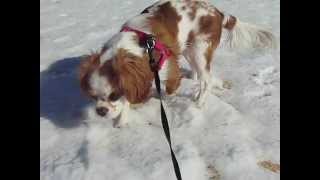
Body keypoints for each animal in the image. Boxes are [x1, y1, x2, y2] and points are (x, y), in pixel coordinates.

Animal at [79, 0, 276, 126]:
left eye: (113, 95)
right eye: (93, 97)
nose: (101, 111)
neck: (140, 46)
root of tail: (218, 12)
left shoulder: (168, 66)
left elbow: (170, 88)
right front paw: (122, 119)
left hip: (199, 49)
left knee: (206, 79)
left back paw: (199, 104)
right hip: (189, 48)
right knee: (200, 74)